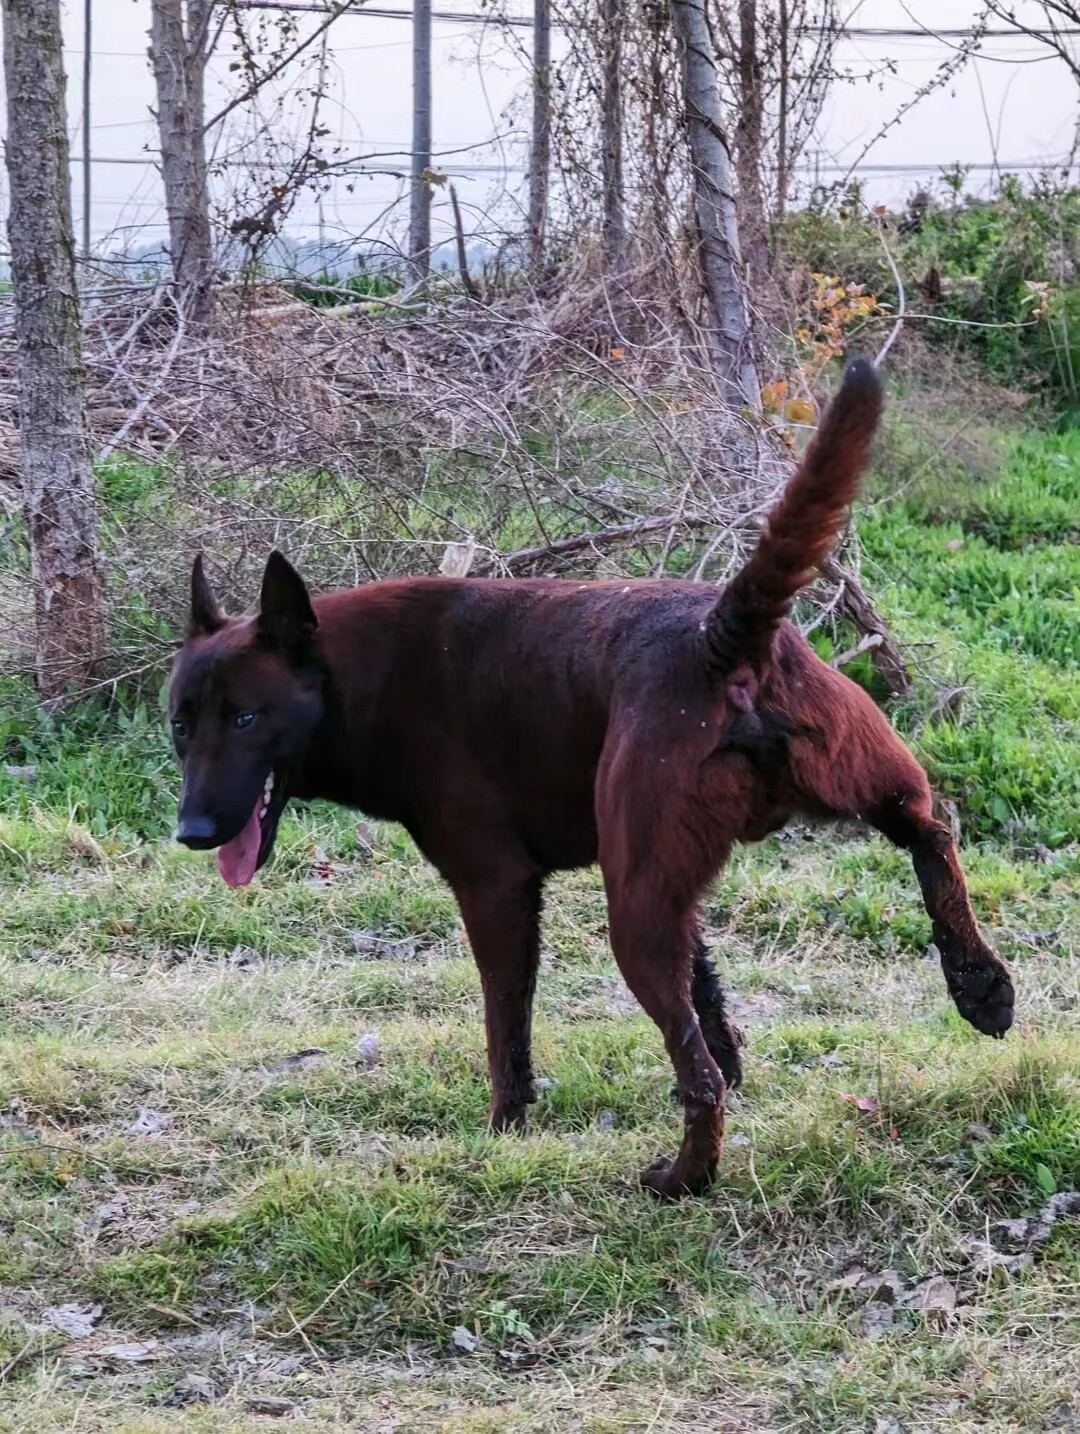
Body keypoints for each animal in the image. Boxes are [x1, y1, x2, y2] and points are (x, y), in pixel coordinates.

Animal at [166, 361, 1009, 1198]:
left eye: (245, 719)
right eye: (180, 725)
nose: (192, 833)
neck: (354, 678)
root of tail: (720, 637)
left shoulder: (497, 888)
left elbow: (507, 1023)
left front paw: (506, 1127)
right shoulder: (665, 883)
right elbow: (709, 992)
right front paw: (737, 1059)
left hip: (632, 919)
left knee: (695, 1074)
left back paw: (686, 1177)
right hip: (848, 781)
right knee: (931, 829)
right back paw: (979, 983)